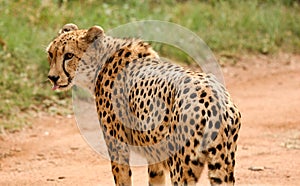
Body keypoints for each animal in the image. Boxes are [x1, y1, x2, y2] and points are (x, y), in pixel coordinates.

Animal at [46, 24, 241, 185]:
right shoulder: (153, 152)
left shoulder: (118, 147)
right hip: (222, 167)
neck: (101, 62)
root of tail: (212, 98)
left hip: (182, 167)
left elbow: (122, 179)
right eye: (50, 54)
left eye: (69, 55)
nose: (52, 77)